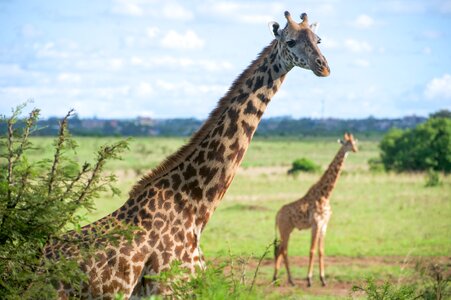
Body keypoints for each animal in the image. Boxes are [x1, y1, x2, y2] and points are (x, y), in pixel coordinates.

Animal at [274, 133, 358, 286]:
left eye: (354, 142)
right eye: (346, 143)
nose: (355, 149)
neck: (325, 195)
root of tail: (277, 215)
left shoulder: (324, 225)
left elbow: (321, 251)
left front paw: (323, 279)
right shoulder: (316, 224)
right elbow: (312, 250)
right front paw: (309, 279)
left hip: (288, 229)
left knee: (279, 249)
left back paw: (277, 278)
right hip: (285, 229)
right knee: (284, 250)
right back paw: (289, 280)